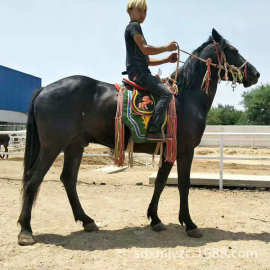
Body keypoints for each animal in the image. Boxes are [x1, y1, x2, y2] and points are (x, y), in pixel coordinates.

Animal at [17, 29, 260, 245]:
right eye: (233, 50)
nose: (256, 74)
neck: (185, 97)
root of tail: (44, 89)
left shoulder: (168, 151)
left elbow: (160, 182)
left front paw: (155, 219)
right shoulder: (185, 150)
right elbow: (183, 184)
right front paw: (189, 224)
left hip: (74, 145)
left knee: (68, 179)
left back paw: (86, 220)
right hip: (52, 146)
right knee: (33, 180)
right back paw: (26, 231)